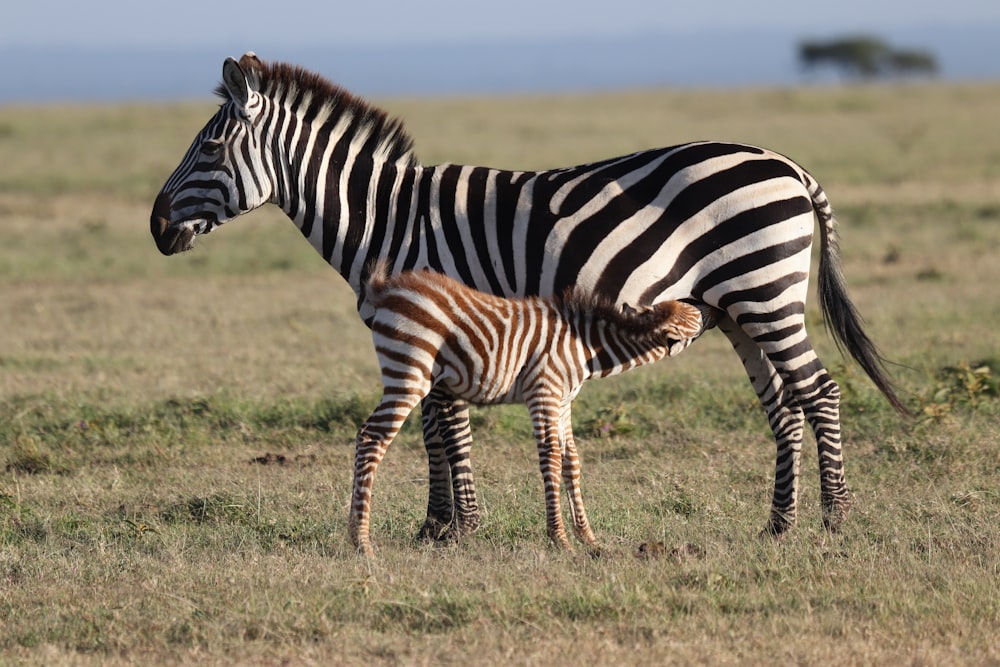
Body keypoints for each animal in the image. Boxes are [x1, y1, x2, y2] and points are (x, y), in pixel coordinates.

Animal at [352, 268, 712, 556]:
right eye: (696, 315)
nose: (708, 300)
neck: (586, 347)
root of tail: (387, 288)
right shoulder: (544, 393)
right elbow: (551, 459)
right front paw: (560, 540)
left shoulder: (564, 402)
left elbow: (571, 461)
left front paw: (588, 538)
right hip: (408, 373)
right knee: (372, 438)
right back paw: (361, 542)